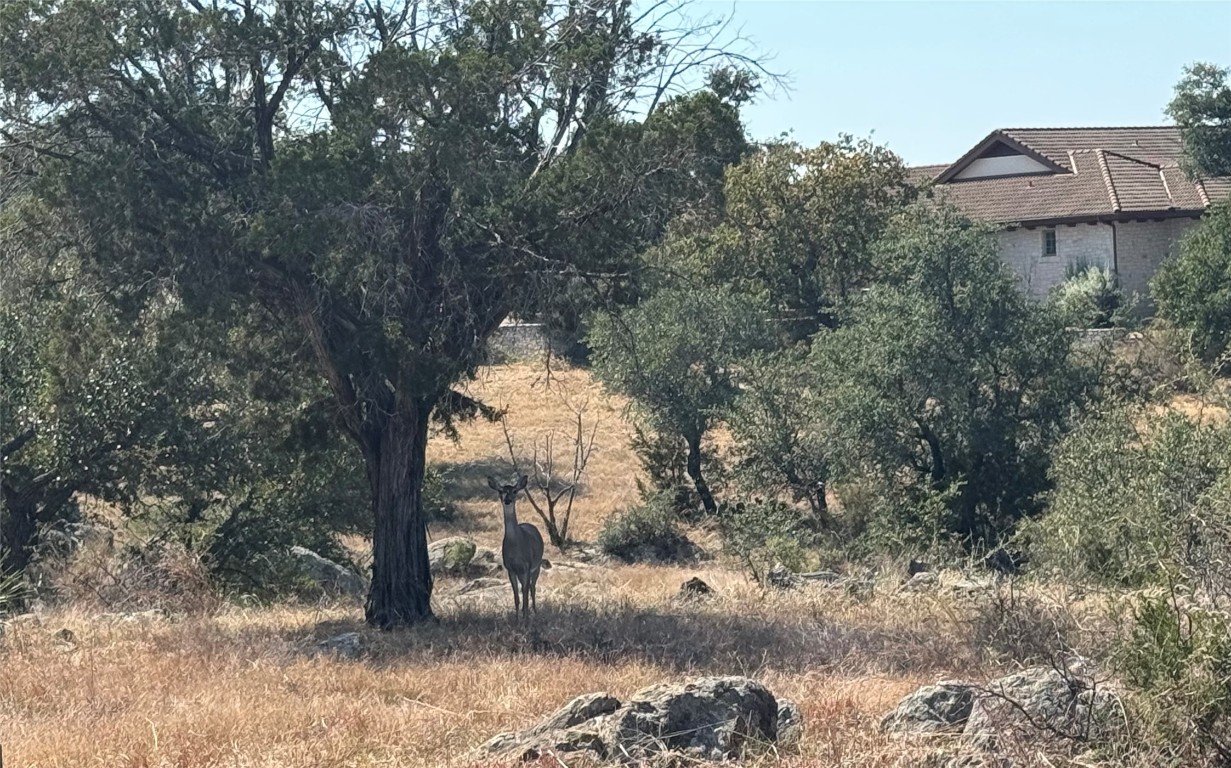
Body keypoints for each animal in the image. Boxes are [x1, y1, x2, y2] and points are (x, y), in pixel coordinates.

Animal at [487, 470, 546, 620]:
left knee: (532, 588)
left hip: (536, 566)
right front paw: (517, 618)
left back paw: (534, 611)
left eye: (514, 491)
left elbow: (524, 594)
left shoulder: (527, 566)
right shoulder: (510, 568)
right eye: (501, 491)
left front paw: (526, 618)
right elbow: (516, 596)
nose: (507, 500)